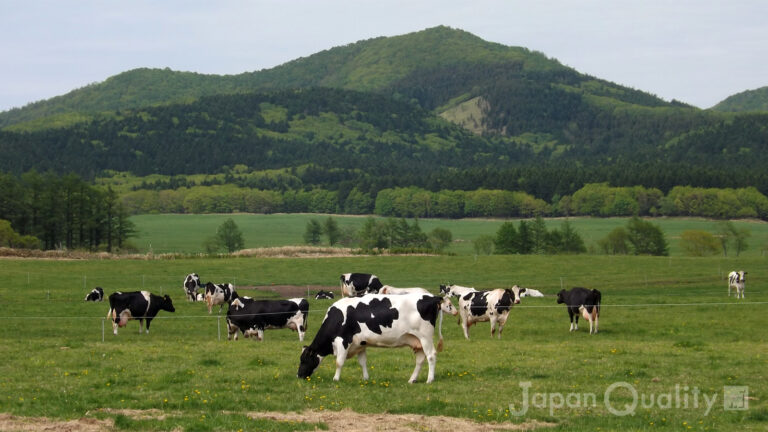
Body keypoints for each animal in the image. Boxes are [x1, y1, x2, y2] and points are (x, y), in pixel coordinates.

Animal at [296, 294, 456, 382]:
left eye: (304, 360)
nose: (299, 376)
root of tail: (432, 297)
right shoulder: (360, 343)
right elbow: (362, 362)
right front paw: (365, 378)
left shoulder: (343, 341)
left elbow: (339, 362)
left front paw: (336, 379)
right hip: (417, 341)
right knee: (420, 360)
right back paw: (412, 379)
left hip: (425, 337)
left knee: (431, 356)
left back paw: (430, 379)